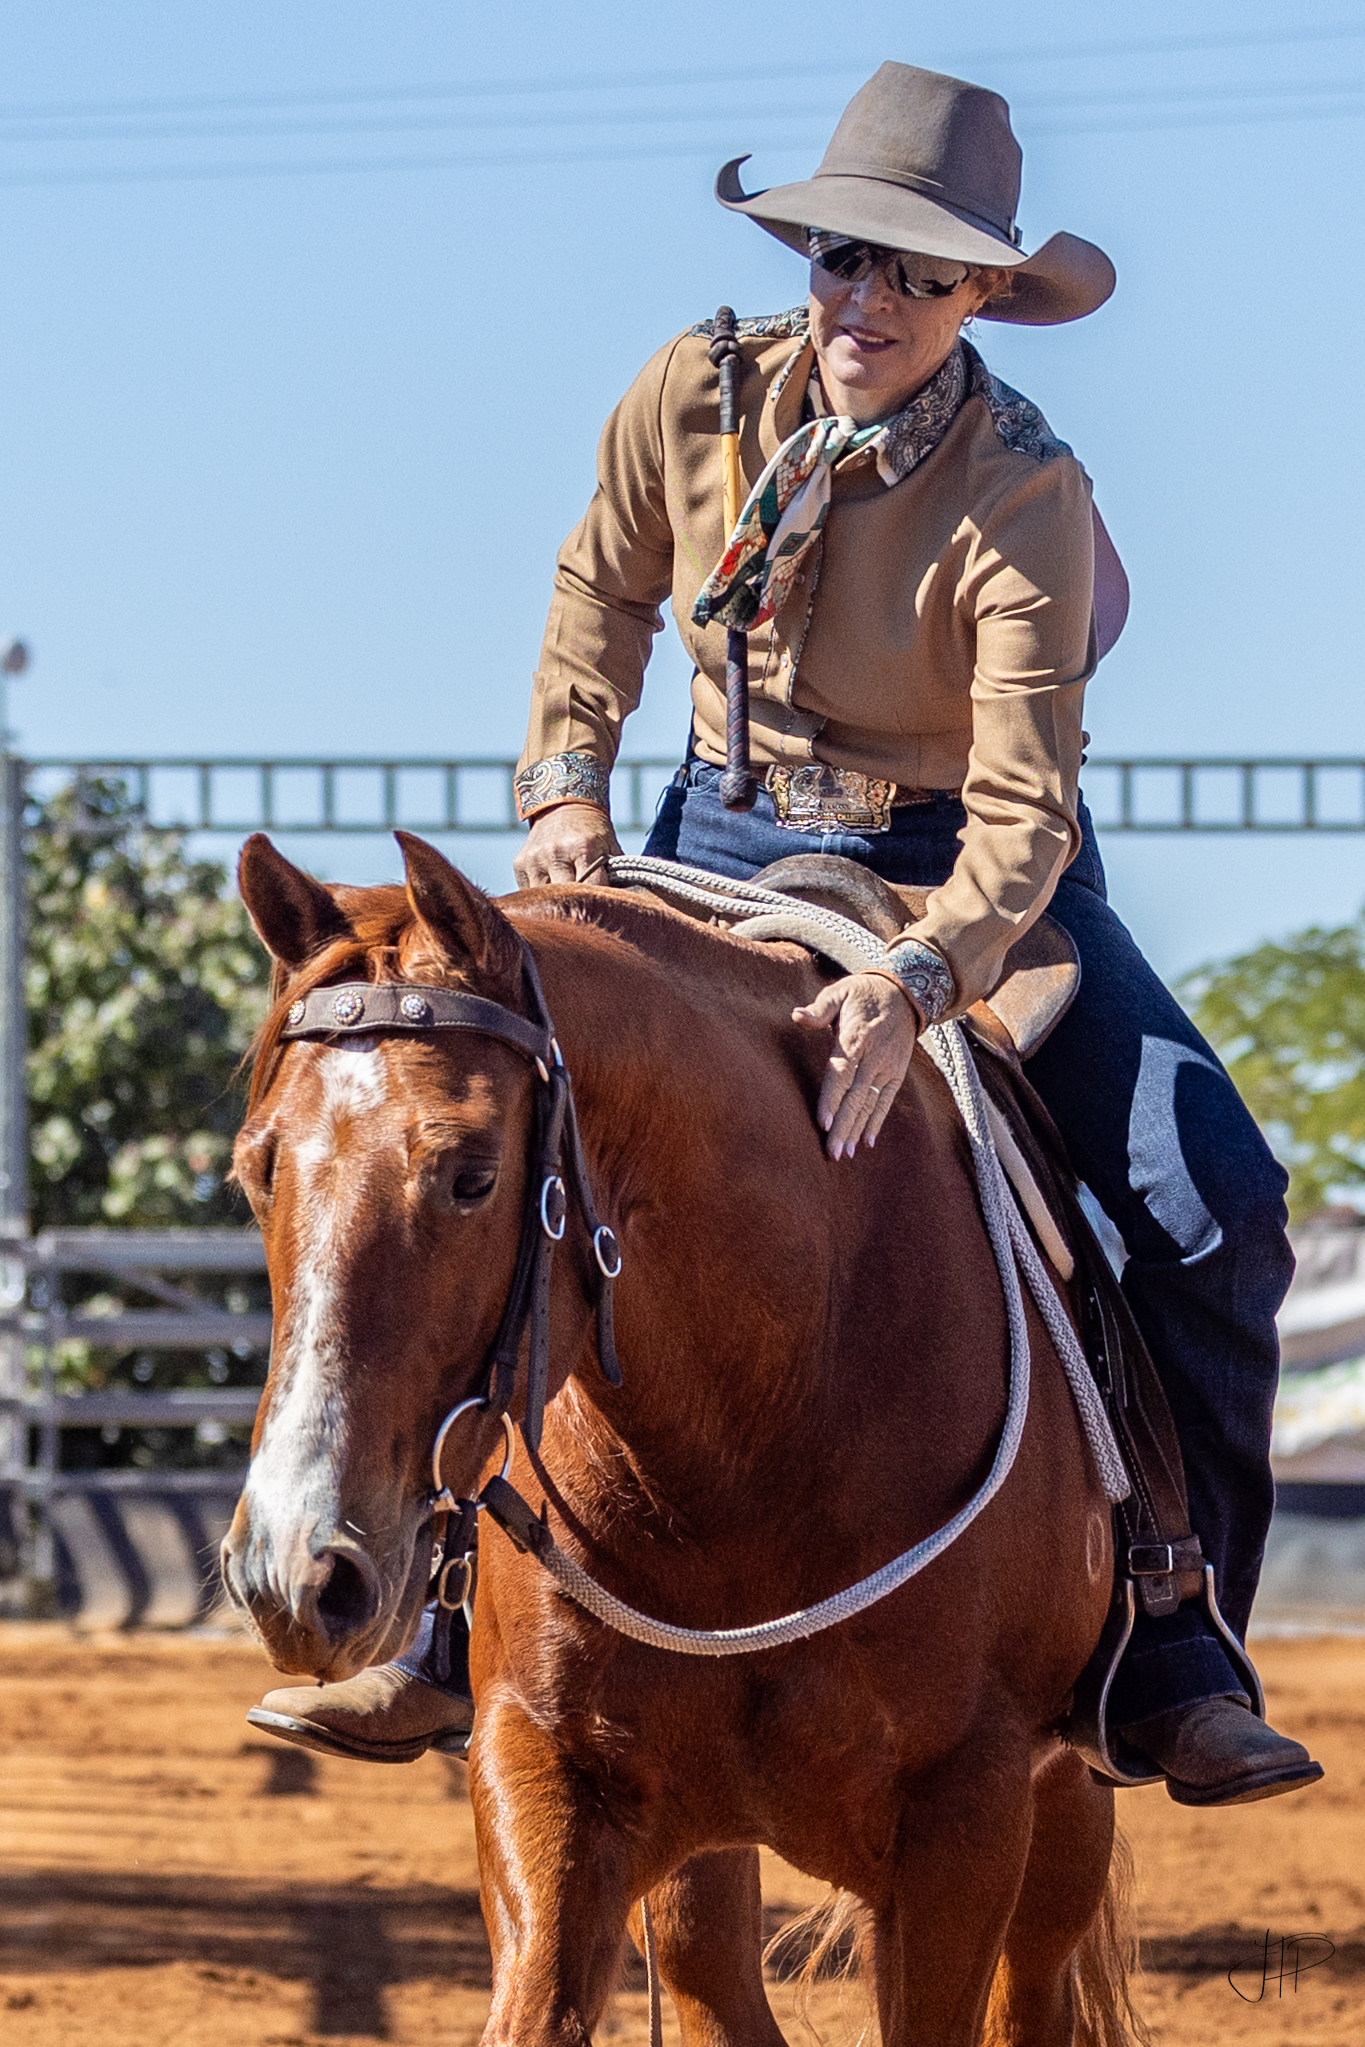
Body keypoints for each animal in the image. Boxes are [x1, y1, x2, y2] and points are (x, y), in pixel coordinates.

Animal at [222, 829, 1141, 2047]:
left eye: (472, 1175)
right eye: (256, 1167)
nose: (293, 1567)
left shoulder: (967, 1819)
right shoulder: (546, 1771)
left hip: (1063, 1813)